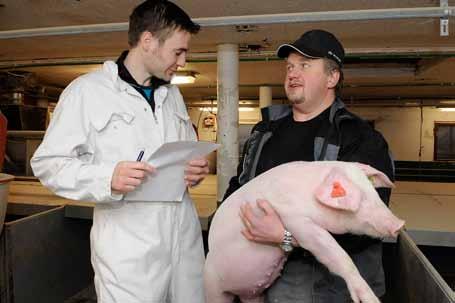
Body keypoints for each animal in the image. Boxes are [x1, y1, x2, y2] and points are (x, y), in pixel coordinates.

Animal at [205, 160, 404, 302]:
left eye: (374, 193)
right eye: (359, 198)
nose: (400, 224)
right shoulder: (295, 220)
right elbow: (336, 253)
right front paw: (370, 300)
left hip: (254, 294)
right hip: (212, 285)